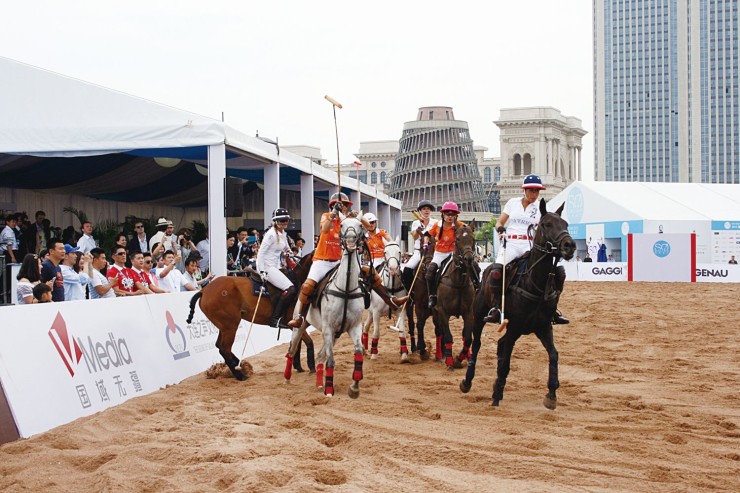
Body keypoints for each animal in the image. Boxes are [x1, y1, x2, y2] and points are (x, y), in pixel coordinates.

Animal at [185, 252, 316, 378]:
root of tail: (204, 291)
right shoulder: (294, 322)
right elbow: (308, 342)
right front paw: (311, 367)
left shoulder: (295, 325)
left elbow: (297, 344)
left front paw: (298, 366)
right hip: (230, 325)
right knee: (224, 349)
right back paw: (240, 374)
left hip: (224, 326)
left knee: (220, 346)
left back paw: (241, 366)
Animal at [284, 217, 368, 398]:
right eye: (342, 225)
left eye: (360, 225)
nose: (351, 240)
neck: (345, 289)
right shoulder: (328, 328)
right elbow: (331, 360)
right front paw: (330, 390)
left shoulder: (354, 327)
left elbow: (358, 352)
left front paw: (354, 387)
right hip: (301, 325)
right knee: (292, 350)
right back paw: (287, 379)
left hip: (335, 334)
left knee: (320, 356)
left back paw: (318, 384)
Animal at [430, 223, 476, 368]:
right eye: (458, 239)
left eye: (473, 238)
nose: (468, 259)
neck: (458, 281)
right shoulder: (443, 311)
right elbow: (448, 336)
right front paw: (450, 362)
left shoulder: (469, 312)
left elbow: (468, 338)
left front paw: (460, 358)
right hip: (435, 312)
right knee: (439, 332)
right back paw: (440, 355)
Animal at [462, 199, 580, 408]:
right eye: (546, 224)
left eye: (565, 224)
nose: (570, 246)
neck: (536, 285)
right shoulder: (514, 327)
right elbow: (505, 362)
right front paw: (495, 397)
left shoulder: (543, 327)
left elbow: (554, 355)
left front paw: (551, 395)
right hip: (479, 316)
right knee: (476, 345)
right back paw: (467, 381)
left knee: (500, 345)